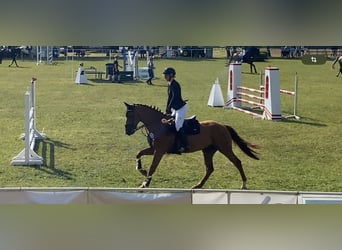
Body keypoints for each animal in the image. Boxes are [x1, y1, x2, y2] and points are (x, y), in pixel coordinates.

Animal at [124, 102, 260, 188]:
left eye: (130, 115)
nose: (127, 131)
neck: (159, 125)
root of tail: (223, 126)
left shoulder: (159, 151)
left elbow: (153, 167)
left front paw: (145, 183)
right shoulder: (154, 149)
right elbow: (139, 153)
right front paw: (141, 169)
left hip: (224, 148)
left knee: (237, 162)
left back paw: (244, 184)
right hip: (208, 151)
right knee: (209, 168)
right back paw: (198, 185)